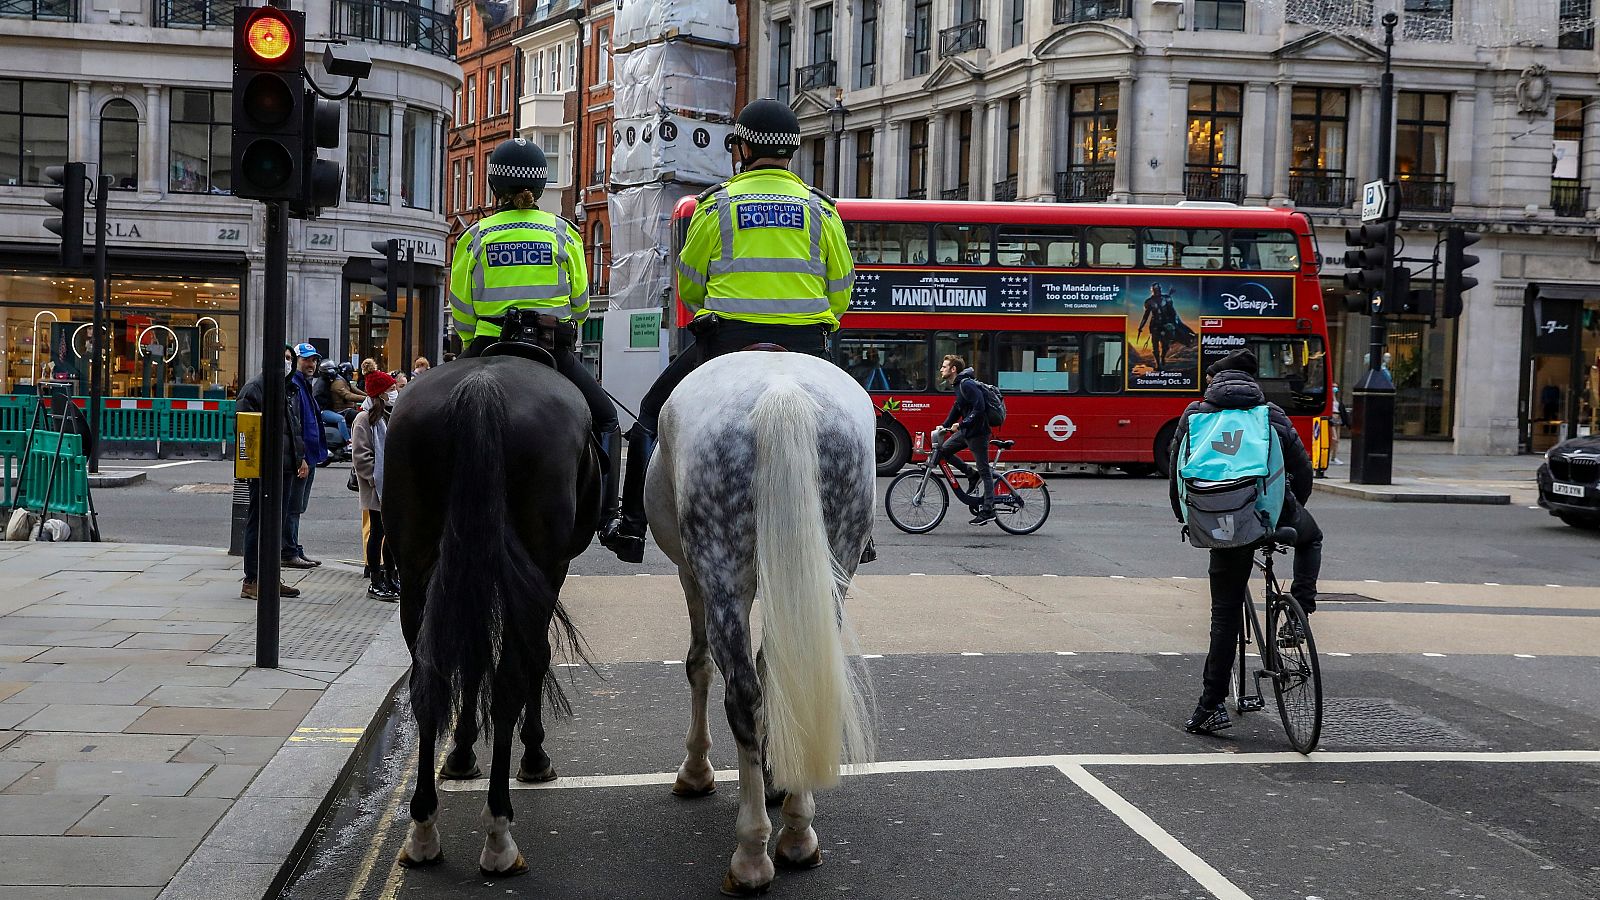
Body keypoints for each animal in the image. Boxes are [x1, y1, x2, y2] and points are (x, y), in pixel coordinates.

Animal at [380, 353, 601, 871]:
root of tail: (482, 388)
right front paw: (534, 755)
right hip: (538, 560)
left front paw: (460, 753)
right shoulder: (549, 572)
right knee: (508, 683)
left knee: (430, 682)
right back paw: (499, 831)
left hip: (416, 571)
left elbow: (474, 657)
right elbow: (534, 659)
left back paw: (423, 829)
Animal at [643, 350, 883, 890]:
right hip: (833, 564)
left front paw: (696, 769)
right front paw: (777, 775)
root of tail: (781, 391)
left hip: (719, 572)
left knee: (742, 695)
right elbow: (775, 670)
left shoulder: (691, 575)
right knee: (795, 677)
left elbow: (698, 666)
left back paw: (752, 852)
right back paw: (798, 829)